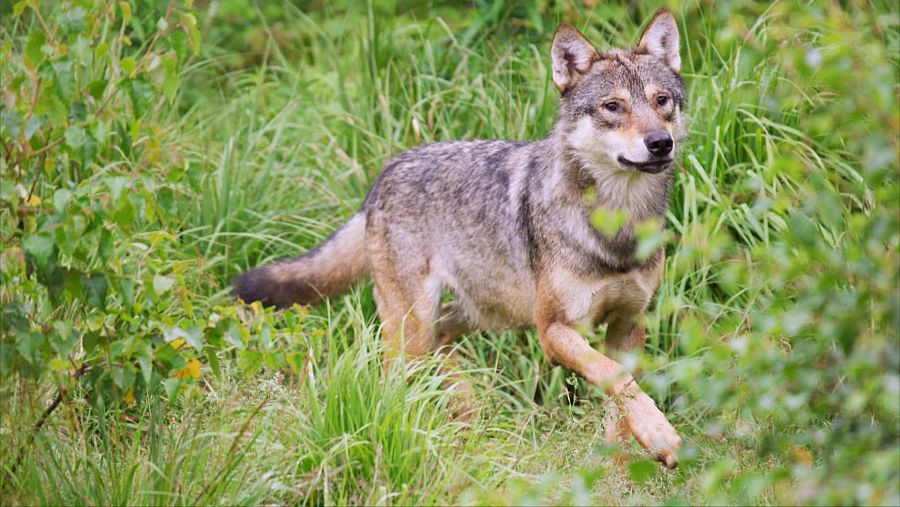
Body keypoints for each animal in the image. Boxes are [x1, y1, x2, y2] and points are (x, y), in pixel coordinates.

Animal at [236, 7, 684, 468]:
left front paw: (621, 468)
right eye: (613, 106)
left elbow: (619, 402)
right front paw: (660, 434)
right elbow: (616, 381)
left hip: (473, 315)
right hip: (413, 328)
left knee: (442, 348)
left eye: (661, 101)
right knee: (396, 376)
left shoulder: (628, 324)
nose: (660, 142)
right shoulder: (553, 330)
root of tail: (382, 177)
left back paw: (466, 410)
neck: (618, 228)